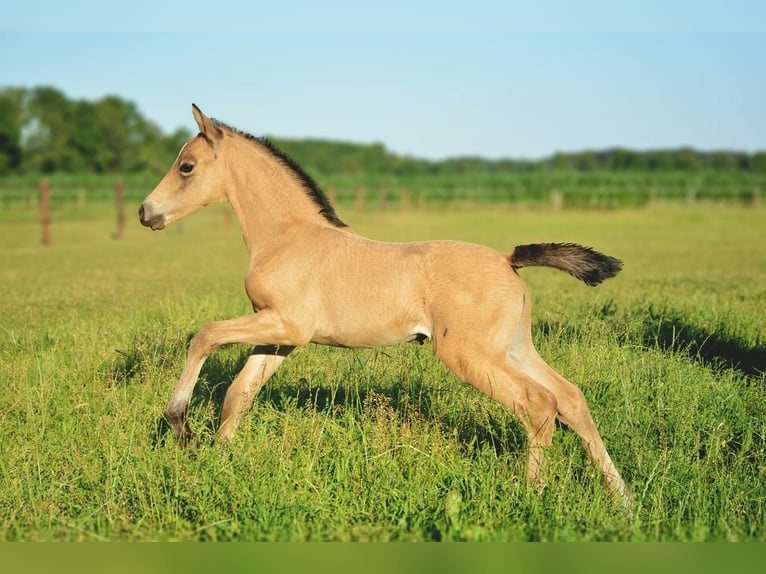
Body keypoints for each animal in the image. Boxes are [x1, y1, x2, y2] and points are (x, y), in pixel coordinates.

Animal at [141, 106, 632, 506]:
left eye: (186, 166)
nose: (147, 212)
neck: (288, 237)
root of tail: (508, 259)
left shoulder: (284, 325)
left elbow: (204, 336)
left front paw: (180, 427)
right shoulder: (280, 336)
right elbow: (238, 394)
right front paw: (216, 461)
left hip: (469, 354)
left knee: (539, 403)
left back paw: (533, 494)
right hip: (513, 349)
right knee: (571, 399)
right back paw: (622, 499)